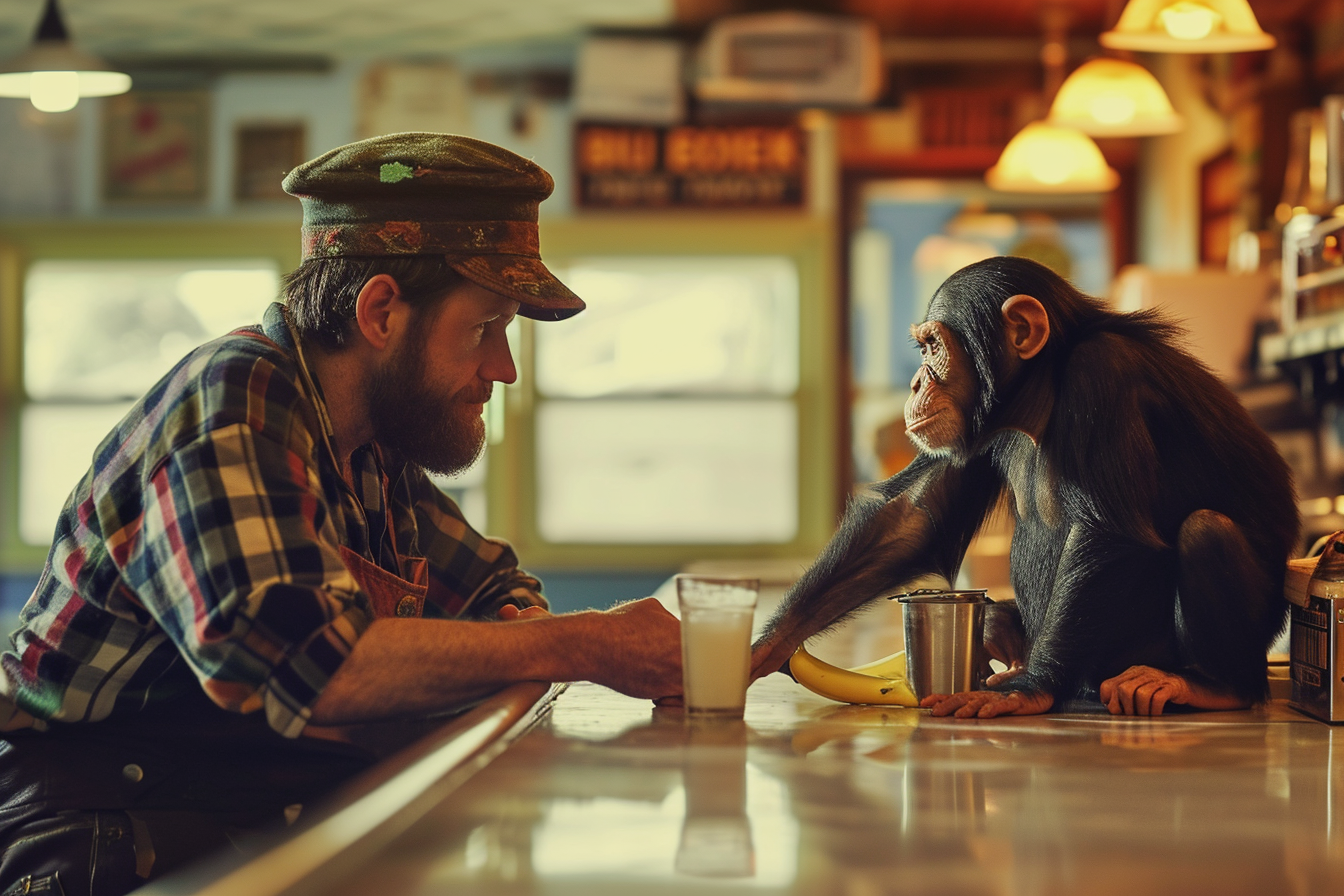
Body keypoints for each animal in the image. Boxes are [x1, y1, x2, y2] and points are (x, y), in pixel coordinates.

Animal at [752, 255, 1295, 720]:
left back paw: (1209, 685)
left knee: (1206, 530)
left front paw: (1028, 690)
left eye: (933, 347)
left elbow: (1107, 531)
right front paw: (769, 644)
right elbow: (912, 516)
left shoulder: (1102, 374)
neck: (1043, 387)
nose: (914, 383)